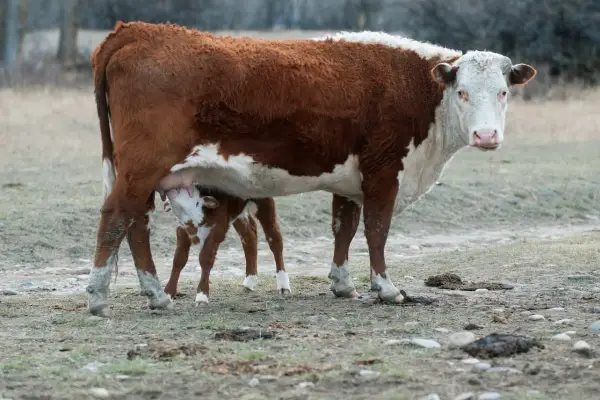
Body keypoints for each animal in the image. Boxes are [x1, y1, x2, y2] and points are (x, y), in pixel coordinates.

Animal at [86, 21, 536, 316]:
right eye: (462, 92)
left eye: (503, 92)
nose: (486, 135)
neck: (417, 89)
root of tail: (138, 30)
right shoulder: (383, 171)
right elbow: (376, 230)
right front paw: (385, 287)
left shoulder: (351, 180)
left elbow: (344, 228)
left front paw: (342, 284)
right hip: (141, 168)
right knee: (117, 218)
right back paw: (99, 295)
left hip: (147, 175)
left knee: (136, 225)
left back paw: (155, 294)